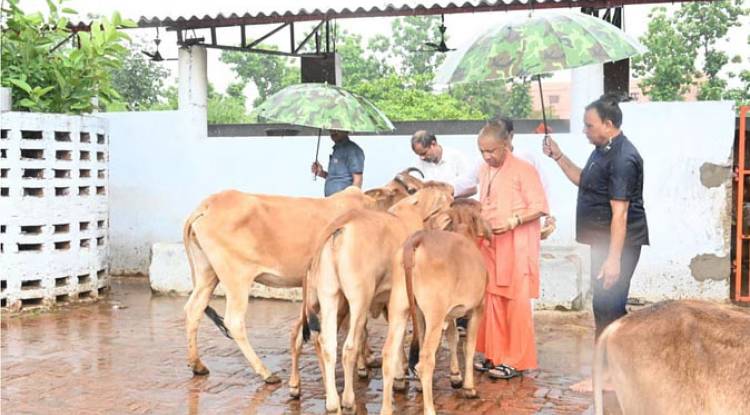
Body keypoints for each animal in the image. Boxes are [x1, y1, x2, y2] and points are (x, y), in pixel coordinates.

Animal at [300, 187, 452, 414]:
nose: (452, 194)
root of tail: (339, 227)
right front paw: (401, 377)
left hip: (330, 296)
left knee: (328, 345)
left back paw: (332, 401)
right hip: (359, 299)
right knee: (349, 348)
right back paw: (348, 399)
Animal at [382, 206, 494, 414]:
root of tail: (416, 240)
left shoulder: (438, 314)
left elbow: (452, 337)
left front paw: (455, 377)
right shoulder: (477, 308)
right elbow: (468, 346)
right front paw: (468, 387)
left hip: (400, 309)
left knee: (389, 354)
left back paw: (386, 408)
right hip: (434, 314)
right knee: (425, 360)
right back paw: (430, 409)